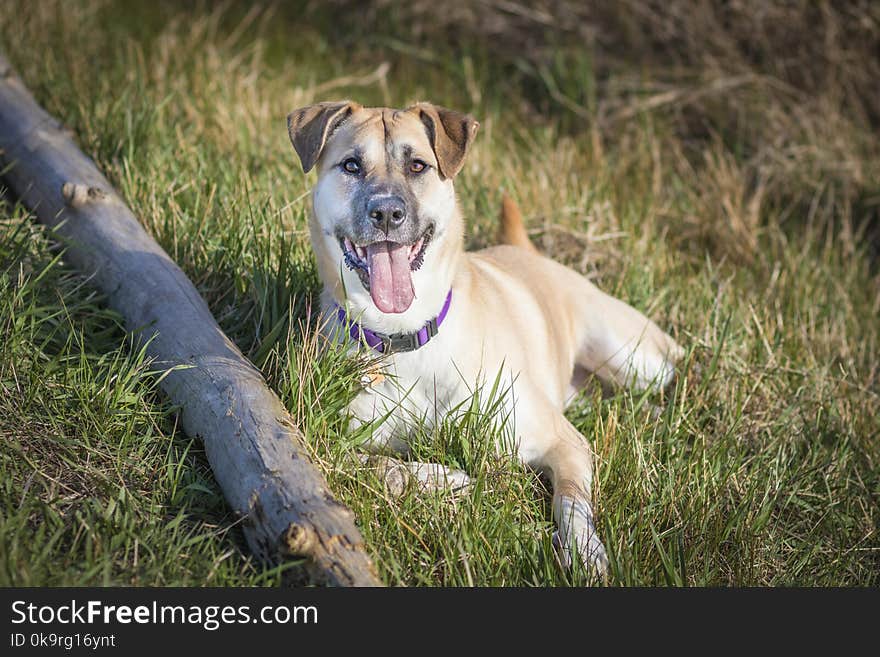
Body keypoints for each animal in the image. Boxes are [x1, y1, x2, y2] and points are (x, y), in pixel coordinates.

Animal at [286, 101, 684, 576]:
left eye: (418, 165)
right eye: (351, 165)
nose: (386, 214)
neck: (408, 336)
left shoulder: (563, 440)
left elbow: (572, 501)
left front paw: (586, 552)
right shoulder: (326, 438)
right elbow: (377, 466)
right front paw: (448, 480)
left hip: (630, 355)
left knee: (673, 366)